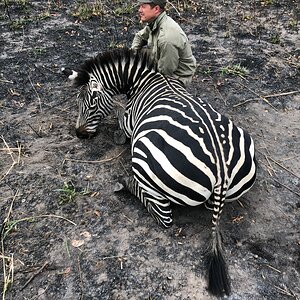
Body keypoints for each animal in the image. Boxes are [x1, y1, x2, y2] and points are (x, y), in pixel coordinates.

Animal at [62, 48, 256, 296]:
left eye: (91, 104)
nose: (80, 134)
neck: (143, 80)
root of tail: (221, 170)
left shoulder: (129, 122)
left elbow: (120, 117)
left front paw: (117, 127)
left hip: (142, 157)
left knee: (162, 216)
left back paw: (124, 182)